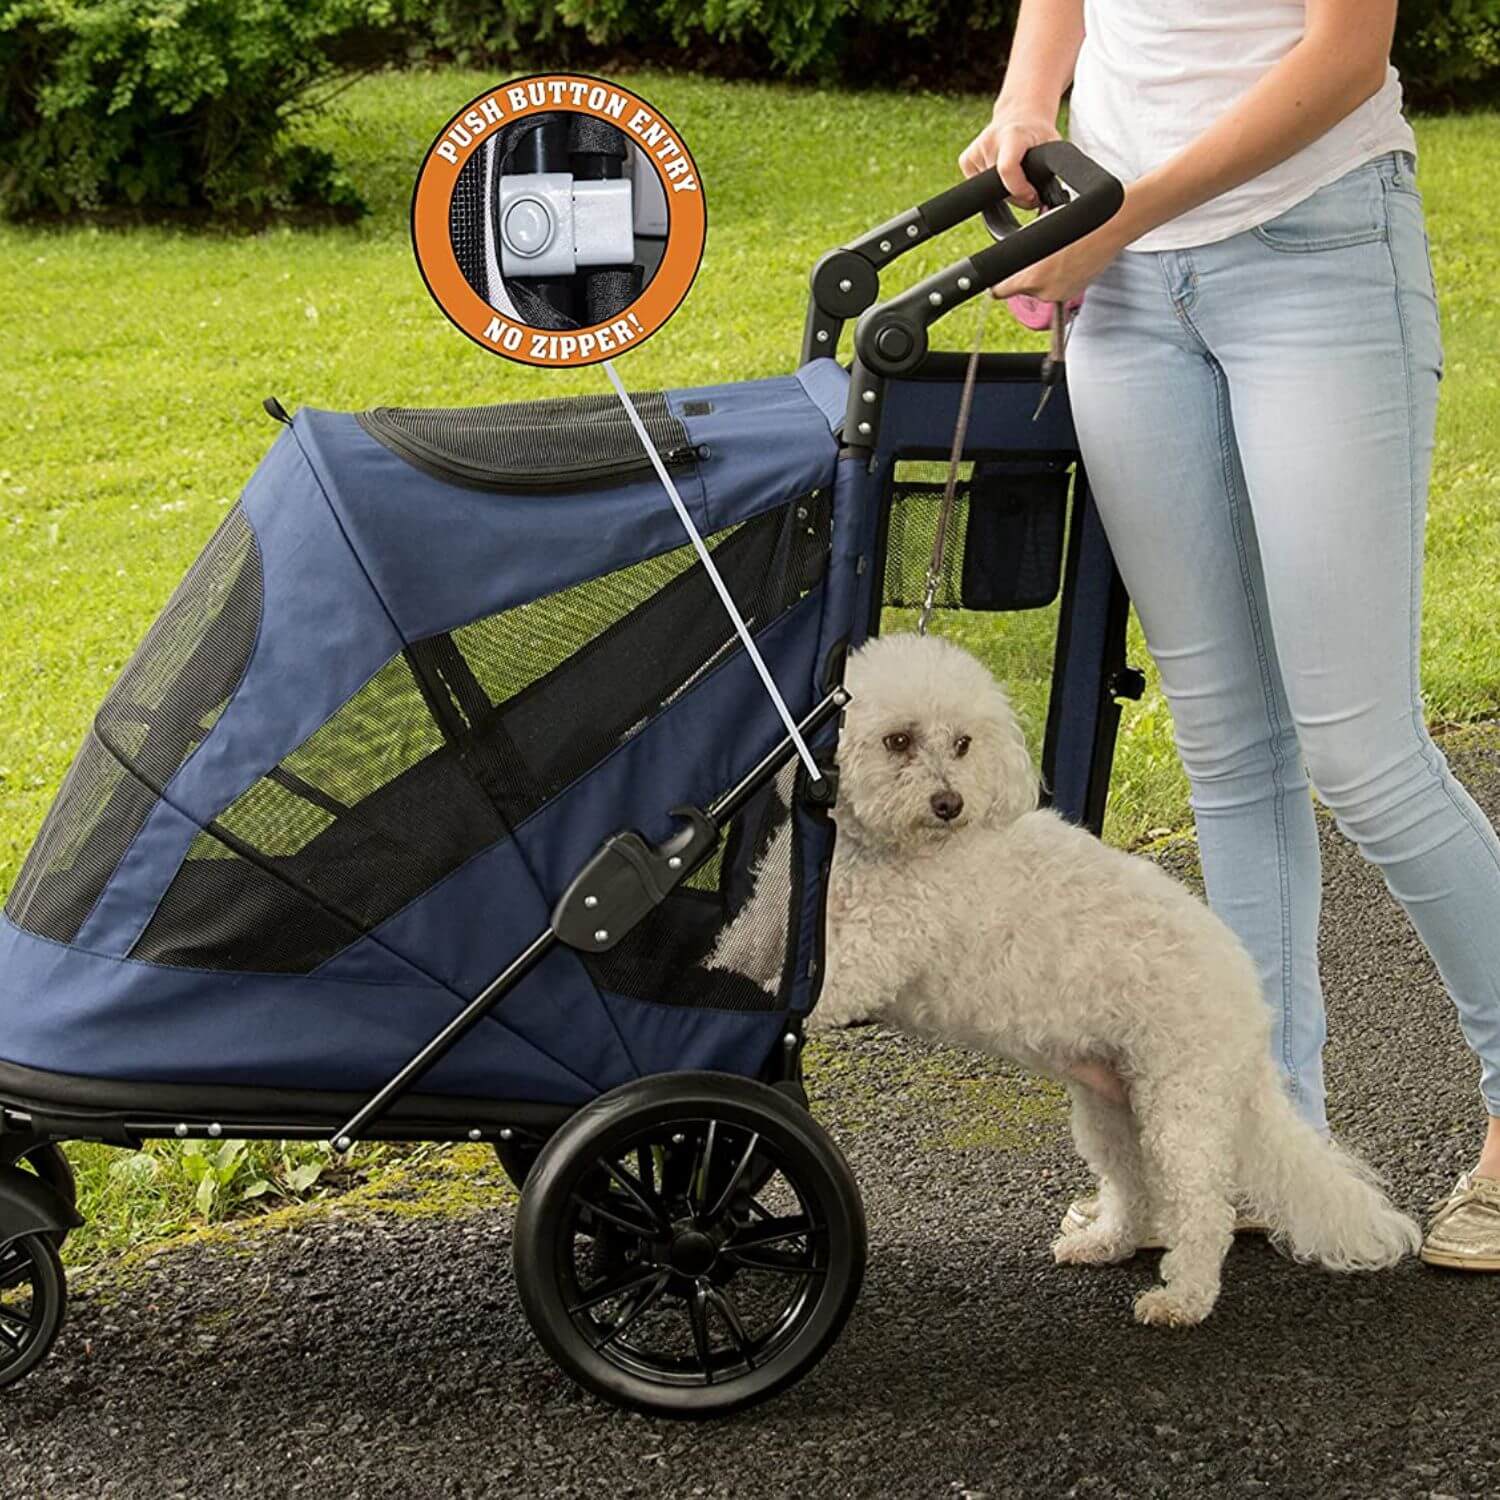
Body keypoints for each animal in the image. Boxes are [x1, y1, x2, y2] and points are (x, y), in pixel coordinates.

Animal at [711, 633, 1416, 1326]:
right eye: (899, 740)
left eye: (962, 744)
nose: (949, 804)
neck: (879, 852)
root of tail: (1250, 1006)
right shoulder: (780, 919)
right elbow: (740, 946)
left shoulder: (867, 962)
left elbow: (804, 990)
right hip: (1113, 1109)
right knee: (1134, 1187)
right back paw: (1105, 1242)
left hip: (1179, 1103)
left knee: (1201, 1210)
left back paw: (1182, 1299)